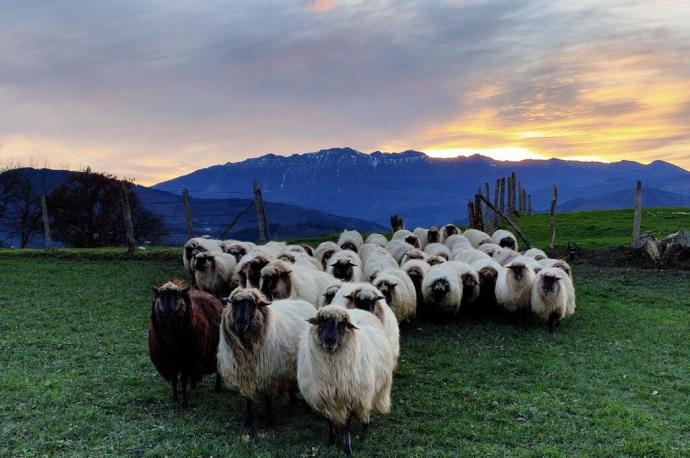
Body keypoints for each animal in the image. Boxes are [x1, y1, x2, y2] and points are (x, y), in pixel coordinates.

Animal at [216, 288, 316, 428]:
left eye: (252, 305)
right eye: (235, 304)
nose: (240, 324)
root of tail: (306, 303)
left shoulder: (268, 371)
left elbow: (268, 399)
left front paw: (269, 422)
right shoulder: (245, 374)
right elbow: (248, 399)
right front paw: (248, 421)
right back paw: (292, 401)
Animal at [296, 304, 392, 454]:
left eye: (342, 324)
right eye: (321, 321)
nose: (330, 340)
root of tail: (359, 310)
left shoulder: (350, 396)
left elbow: (347, 423)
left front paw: (347, 447)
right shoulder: (326, 396)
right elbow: (330, 421)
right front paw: (331, 442)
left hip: (370, 387)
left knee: (367, 407)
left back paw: (365, 426)